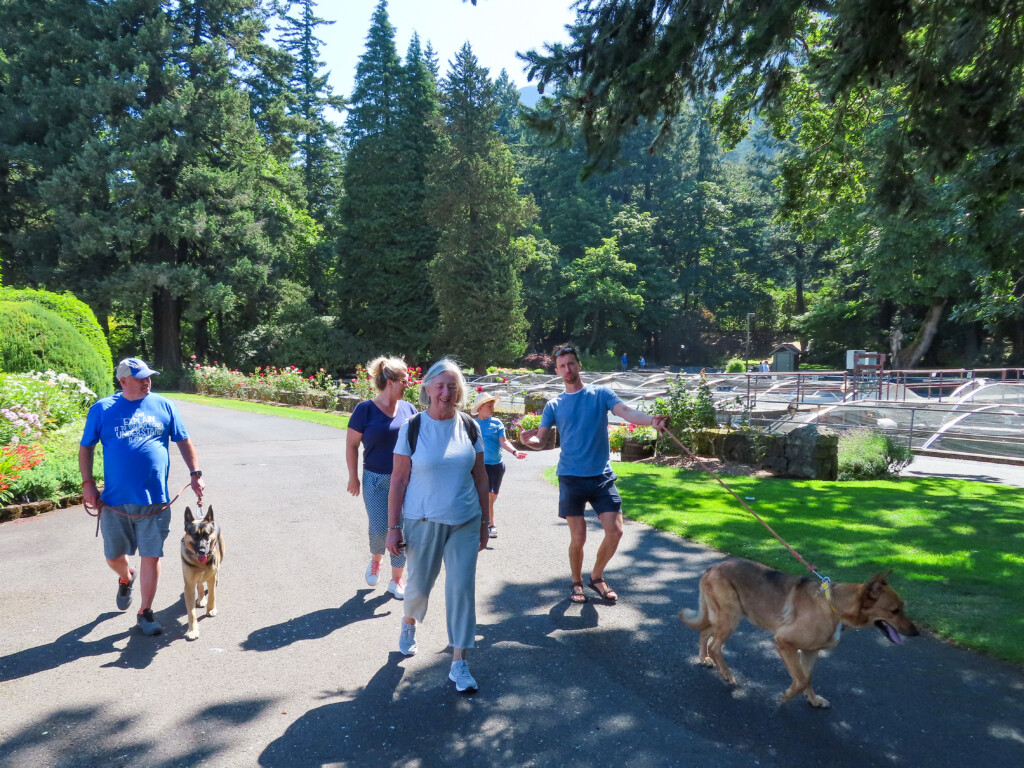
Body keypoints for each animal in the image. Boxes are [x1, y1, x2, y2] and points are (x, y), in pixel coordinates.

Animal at [182, 505, 226, 643]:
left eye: (207, 535)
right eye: (195, 536)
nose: (202, 551)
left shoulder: (211, 577)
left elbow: (212, 595)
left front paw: (211, 609)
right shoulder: (189, 585)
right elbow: (191, 613)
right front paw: (193, 631)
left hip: (221, 555)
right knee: (200, 584)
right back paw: (201, 599)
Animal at [684, 561, 917, 708]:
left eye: (902, 608)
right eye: (895, 611)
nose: (915, 633)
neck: (834, 606)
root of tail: (713, 567)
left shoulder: (810, 652)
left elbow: (808, 678)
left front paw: (813, 700)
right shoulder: (784, 643)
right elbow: (802, 680)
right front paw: (786, 697)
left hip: (725, 617)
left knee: (704, 632)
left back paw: (704, 659)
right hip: (730, 618)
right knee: (715, 645)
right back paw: (726, 673)